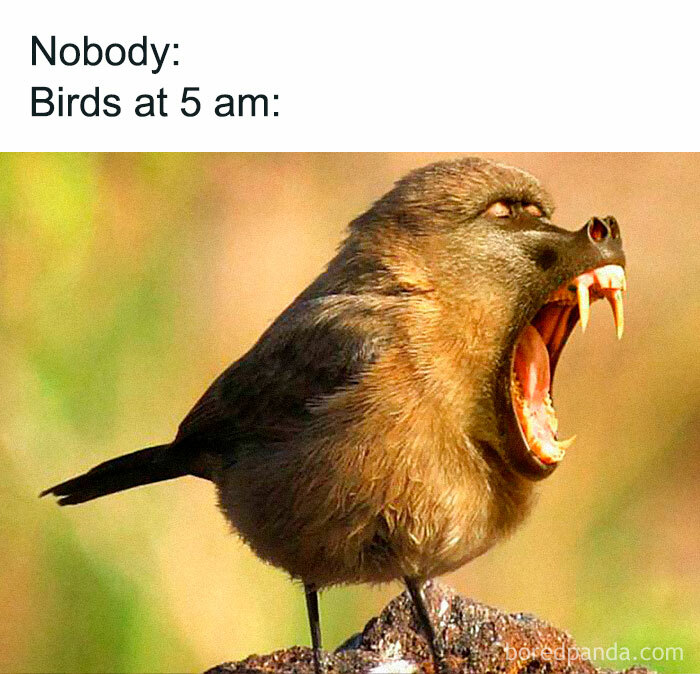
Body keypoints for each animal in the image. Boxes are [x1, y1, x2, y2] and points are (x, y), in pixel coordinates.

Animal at [42, 157, 626, 674]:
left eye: (538, 210)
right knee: (310, 586)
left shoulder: (415, 538)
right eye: (504, 212)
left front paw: (442, 653)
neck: (430, 304)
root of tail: (185, 444)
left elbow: (416, 589)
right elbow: (329, 591)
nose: (606, 229)